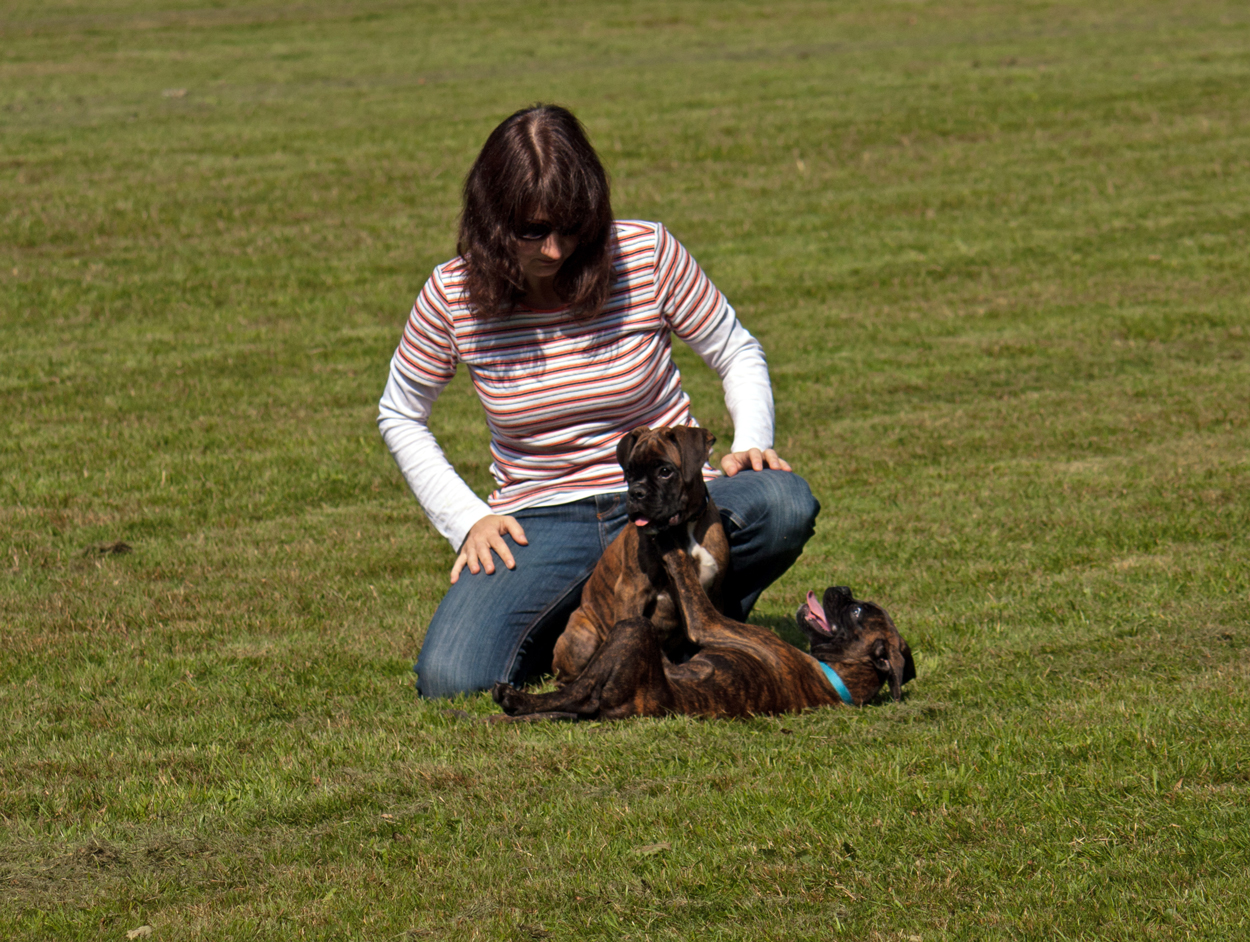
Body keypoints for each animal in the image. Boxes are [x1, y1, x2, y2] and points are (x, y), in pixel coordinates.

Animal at [550, 424, 730, 684]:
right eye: (629, 472)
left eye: (665, 471)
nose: (636, 493)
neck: (681, 529)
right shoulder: (630, 592)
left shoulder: (714, 594)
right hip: (581, 640)